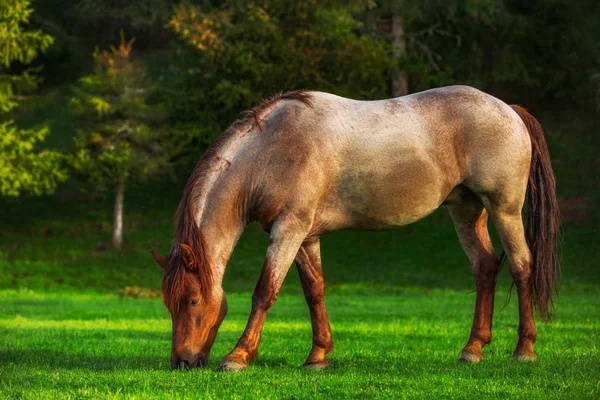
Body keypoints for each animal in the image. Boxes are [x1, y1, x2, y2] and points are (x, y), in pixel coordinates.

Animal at [151, 85, 564, 372]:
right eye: (168, 303)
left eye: (192, 300)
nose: (182, 362)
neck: (271, 150)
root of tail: (509, 110)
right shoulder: (306, 237)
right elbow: (314, 292)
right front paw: (318, 356)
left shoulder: (288, 230)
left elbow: (265, 292)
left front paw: (238, 356)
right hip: (466, 211)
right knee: (484, 268)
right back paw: (473, 349)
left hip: (504, 210)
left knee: (521, 267)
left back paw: (524, 350)